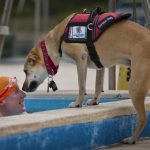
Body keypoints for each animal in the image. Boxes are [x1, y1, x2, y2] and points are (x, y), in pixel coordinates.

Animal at [22, 9, 150, 144]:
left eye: (25, 71)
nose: (23, 88)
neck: (59, 37)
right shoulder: (100, 65)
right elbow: (98, 84)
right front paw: (94, 101)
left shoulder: (80, 58)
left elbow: (81, 86)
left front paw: (77, 103)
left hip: (135, 87)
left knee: (143, 118)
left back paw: (132, 139)